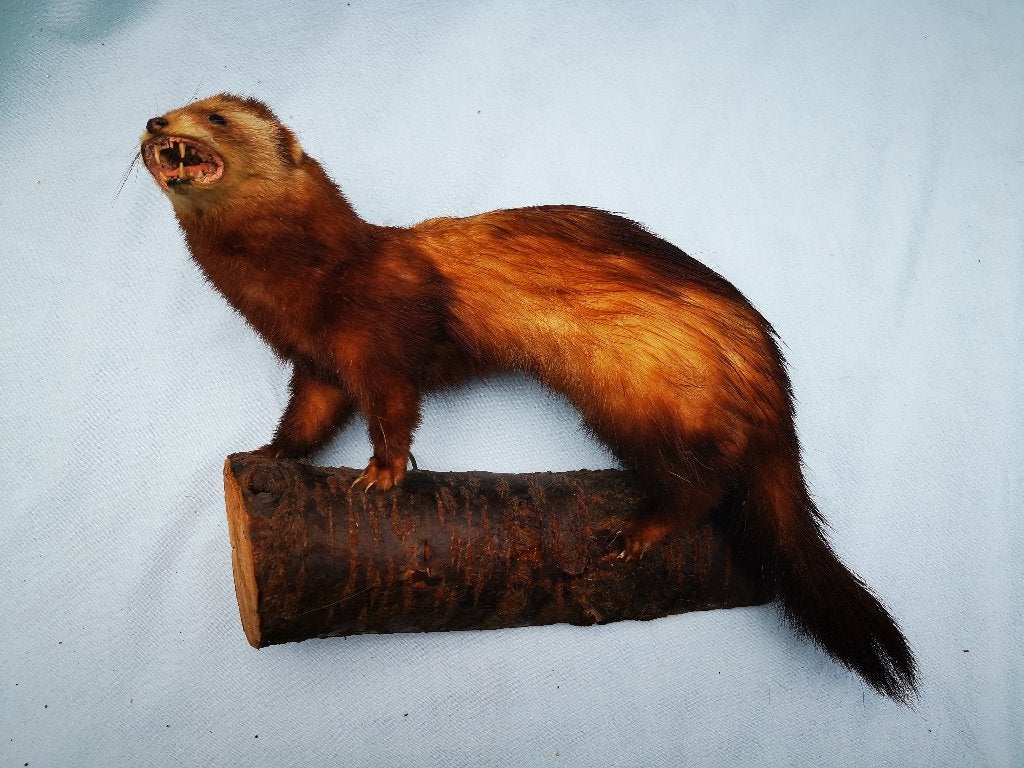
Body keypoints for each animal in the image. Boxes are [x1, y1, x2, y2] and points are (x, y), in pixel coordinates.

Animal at [141, 93, 917, 703]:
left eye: (215, 113)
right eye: (174, 105)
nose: (154, 122)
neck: (293, 295)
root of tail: (770, 381)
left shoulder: (379, 340)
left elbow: (395, 407)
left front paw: (385, 471)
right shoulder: (319, 370)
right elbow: (307, 421)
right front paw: (270, 453)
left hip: (646, 398)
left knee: (706, 481)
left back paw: (639, 532)